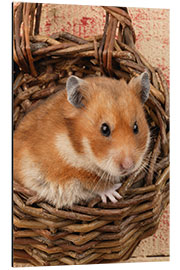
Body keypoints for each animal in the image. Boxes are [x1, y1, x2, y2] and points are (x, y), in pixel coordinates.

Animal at [13, 73, 150, 208]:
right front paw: (115, 194)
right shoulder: (66, 170)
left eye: (136, 127)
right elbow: (93, 182)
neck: (77, 145)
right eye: (104, 129)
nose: (129, 166)